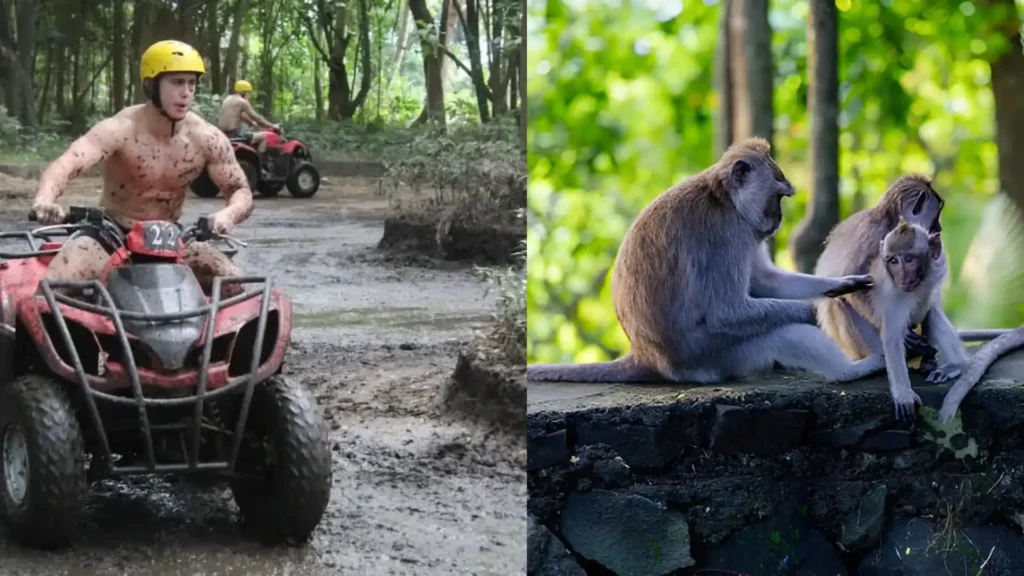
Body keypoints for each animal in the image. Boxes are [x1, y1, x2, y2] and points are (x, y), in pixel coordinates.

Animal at [527, 137, 888, 385]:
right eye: (778, 196)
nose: (778, 220)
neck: (724, 198)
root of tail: (648, 356)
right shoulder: (725, 233)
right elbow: (726, 312)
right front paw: (814, 310)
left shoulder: (743, 229)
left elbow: (765, 282)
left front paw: (839, 286)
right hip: (710, 356)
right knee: (783, 333)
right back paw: (851, 371)